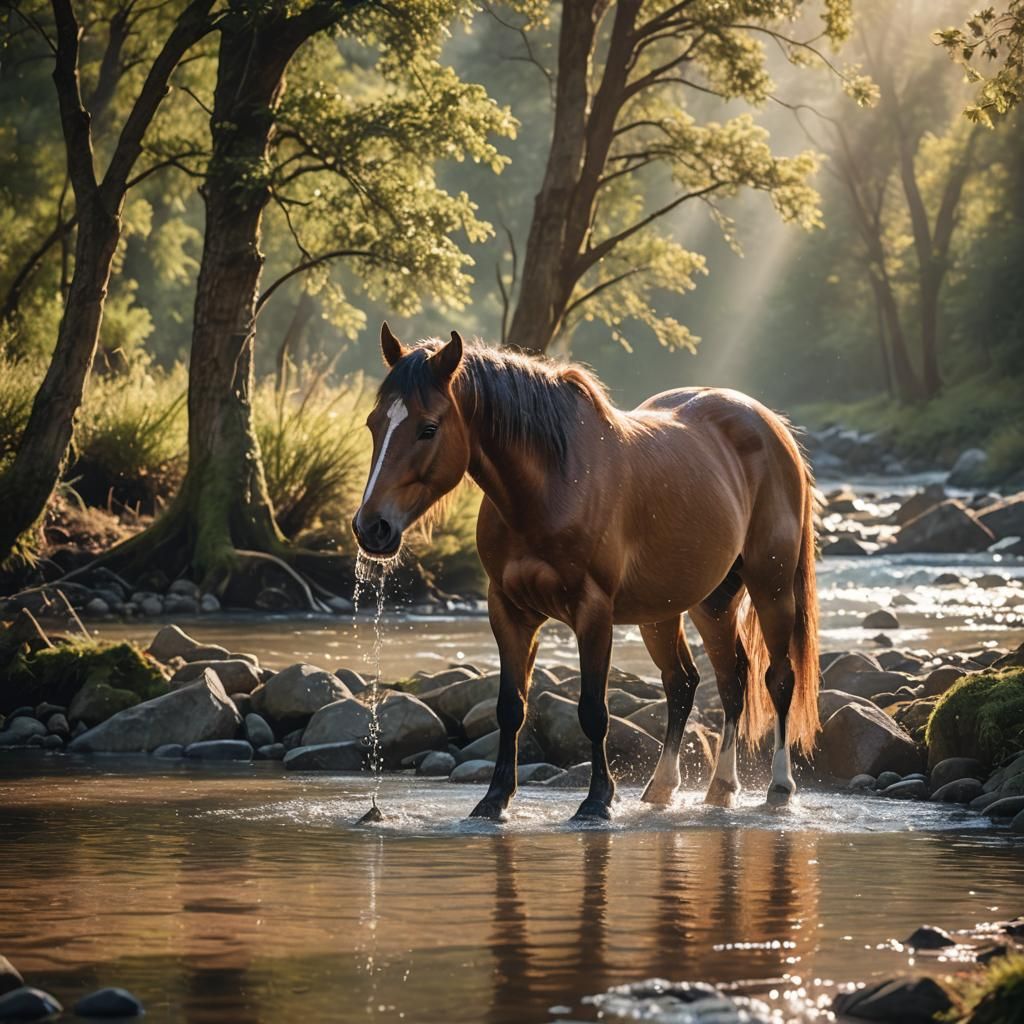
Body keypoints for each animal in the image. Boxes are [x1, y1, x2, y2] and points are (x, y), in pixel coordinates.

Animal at [353, 323, 819, 821]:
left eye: (428, 428)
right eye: (373, 423)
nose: (371, 527)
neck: (552, 484)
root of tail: (769, 425)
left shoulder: (593, 611)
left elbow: (594, 710)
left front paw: (598, 800)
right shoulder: (507, 610)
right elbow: (510, 707)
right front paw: (494, 799)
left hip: (770, 589)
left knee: (777, 678)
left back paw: (778, 788)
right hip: (695, 604)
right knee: (709, 682)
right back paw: (697, 788)